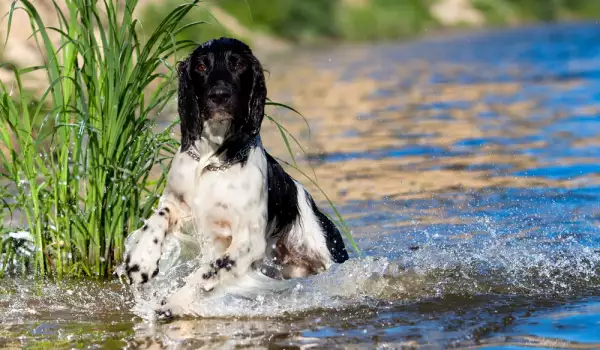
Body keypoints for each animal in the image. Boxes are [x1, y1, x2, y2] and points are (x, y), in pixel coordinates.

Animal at [125, 37, 352, 318]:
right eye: (201, 66)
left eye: (238, 64)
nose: (219, 95)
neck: (213, 159)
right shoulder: (176, 200)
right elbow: (158, 218)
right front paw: (140, 261)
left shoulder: (248, 240)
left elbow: (208, 270)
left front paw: (174, 302)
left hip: (327, 253)